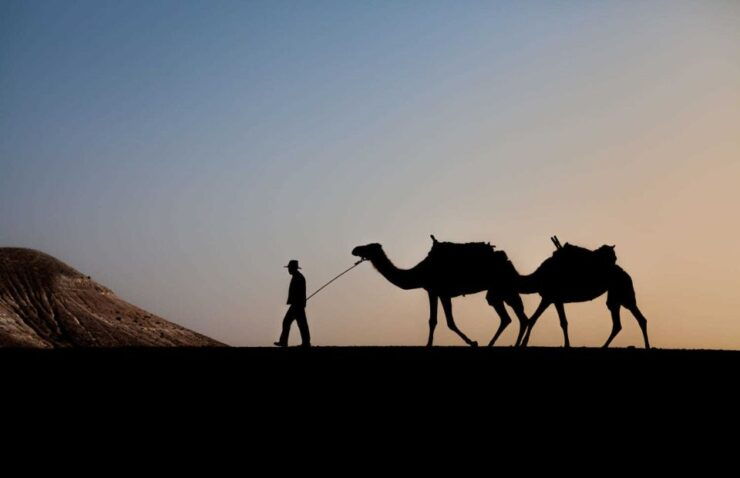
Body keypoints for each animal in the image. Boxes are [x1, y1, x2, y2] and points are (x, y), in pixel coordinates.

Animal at [352, 236, 529, 347]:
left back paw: (512, 344)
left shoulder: (437, 291)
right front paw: (472, 342)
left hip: (502, 287)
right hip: (499, 289)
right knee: (511, 317)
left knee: (516, 316)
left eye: (369, 247)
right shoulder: (437, 292)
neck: (420, 272)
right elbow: (441, 321)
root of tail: (506, 260)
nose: (355, 249)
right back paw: (501, 344)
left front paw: (471, 342)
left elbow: (442, 321)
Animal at [517, 237, 650, 349]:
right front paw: (567, 345)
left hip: (623, 293)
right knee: (622, 322)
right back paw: (605, 347)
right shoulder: (556, 300)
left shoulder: (548, 297)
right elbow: (563, 322)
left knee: (635, 318)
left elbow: (533, 319)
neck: (538, 277)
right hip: (616, 296)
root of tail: (627, 275)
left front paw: (523, 343)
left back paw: (646, 346)